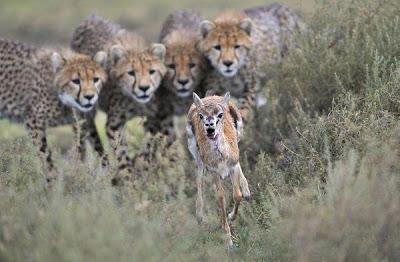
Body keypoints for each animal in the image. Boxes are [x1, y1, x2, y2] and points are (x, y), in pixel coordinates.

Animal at [0, 37, 107, 177]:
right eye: (76, 81)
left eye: (95, 79)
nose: (90, 96)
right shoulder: (33, 121)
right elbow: (45, 155)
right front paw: (52, 179)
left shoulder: (83, 122)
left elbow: (94, 148)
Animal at [71, 15, 166, 173]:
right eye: (131, 73)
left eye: (151, 71)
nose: (144, 88)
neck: (136, 102)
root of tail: (92, 17)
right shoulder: (114, 125)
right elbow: (121, 152)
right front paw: (127, 174)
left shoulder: (154, 119)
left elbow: (149, 145)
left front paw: (141, 163)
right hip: (84, 110)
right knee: (86, 137)